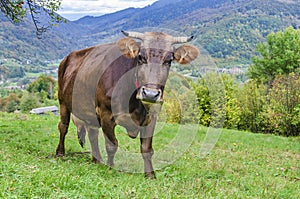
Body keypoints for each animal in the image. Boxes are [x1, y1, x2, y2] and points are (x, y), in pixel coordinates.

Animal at [55, 31, 199, 179]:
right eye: (140, 57)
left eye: (169, 60)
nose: (150, 94)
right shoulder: (106, 113)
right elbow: (112, 145)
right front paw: (110, 168)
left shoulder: (151, 117)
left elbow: (147, 149)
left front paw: (150, 175)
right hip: (63, 101)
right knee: (63, 127)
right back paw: (60, 153)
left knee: (92, 133)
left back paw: (97, 160)